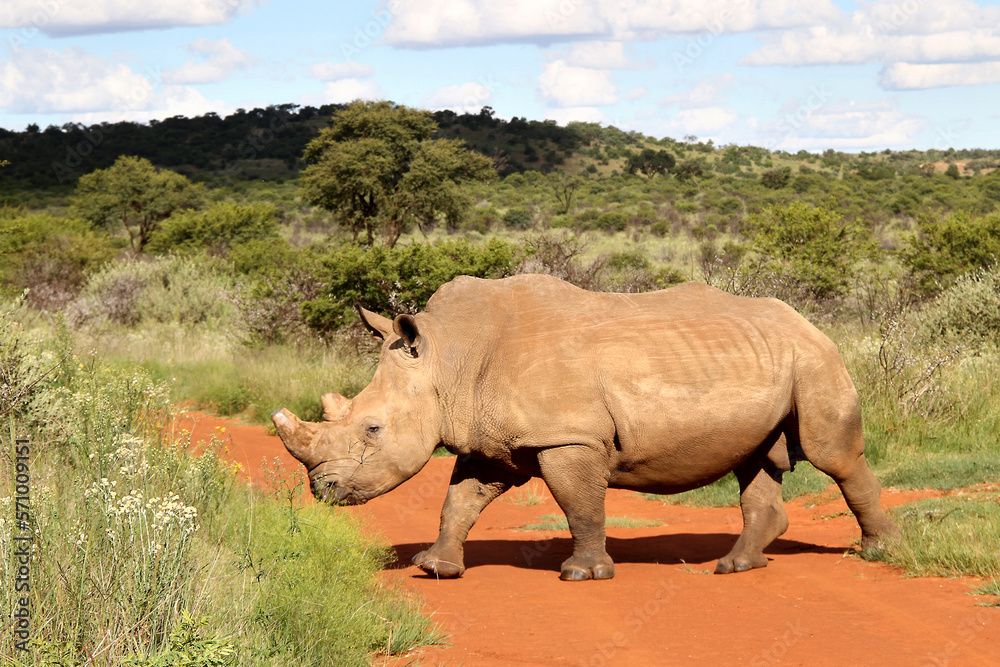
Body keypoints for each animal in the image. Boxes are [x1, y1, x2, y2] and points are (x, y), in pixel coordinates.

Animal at [272, 274, 899, 580]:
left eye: (372, 430)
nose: (321, 490)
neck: (448, 358)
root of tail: (810, 321)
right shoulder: (492, 442)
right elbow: (459, 501)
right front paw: (435, 568)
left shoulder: (567, 436)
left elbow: (580, 505)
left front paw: (584, 574)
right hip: (765, 360)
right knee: (756, 458)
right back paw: (735, 567)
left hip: (813, 359)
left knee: (833, 455)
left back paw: (878, 553)